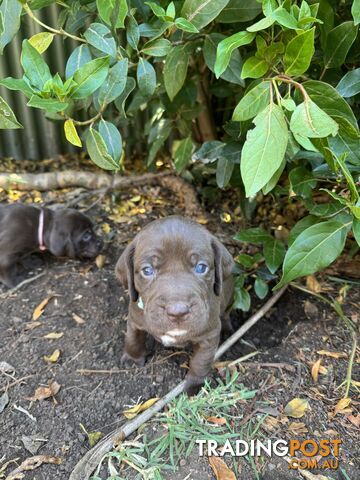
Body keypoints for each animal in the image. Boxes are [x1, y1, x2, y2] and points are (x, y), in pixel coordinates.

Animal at [116, 217, 235, 394]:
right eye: (147, 270)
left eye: (201, 267)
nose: (178, 312)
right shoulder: (135, 319)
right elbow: (133, 338)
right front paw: (133, 357)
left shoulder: (209, 334)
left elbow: (201, 362)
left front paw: (196, 385)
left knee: (226, 312)